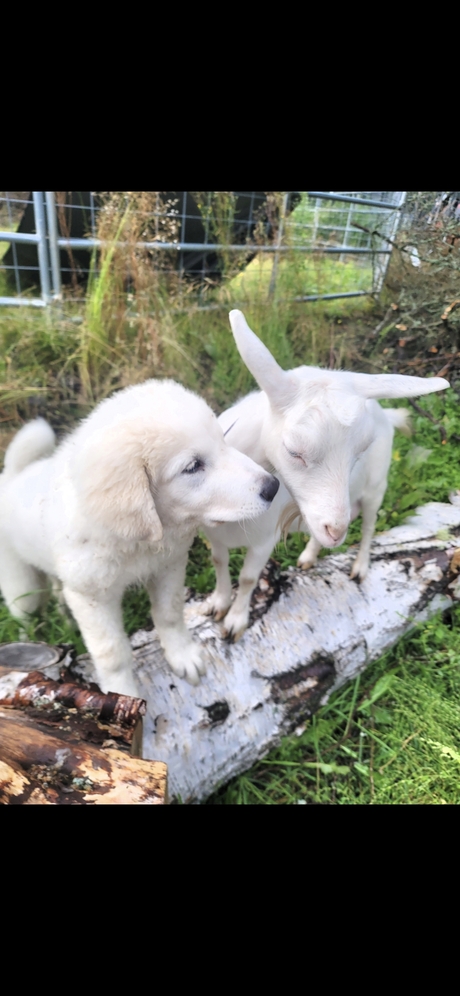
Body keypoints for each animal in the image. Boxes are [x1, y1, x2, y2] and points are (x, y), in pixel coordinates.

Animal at [0, 378, 279, 696]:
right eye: (192, 466)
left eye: (223, 441)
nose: (273, 486)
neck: (140, 542)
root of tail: (11, 478)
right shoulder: (93, 598)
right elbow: (113, 654)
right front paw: (123, 695)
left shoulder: (168, 566)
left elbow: (170, 614)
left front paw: (182, 656)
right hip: (20, 583)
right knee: (25, 615)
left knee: (58, 587)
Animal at [203, 310, 450, 641]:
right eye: (294, 451)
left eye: (361, 448)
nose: (337, 530)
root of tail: (385, 414)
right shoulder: (214, 536)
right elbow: (219, 562)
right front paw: (217, 604)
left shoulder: (264, 541)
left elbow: (248, 578)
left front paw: (235, 622)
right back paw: (310, 556)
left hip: (375, 486)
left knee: (369, 525)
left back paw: (360, 566)